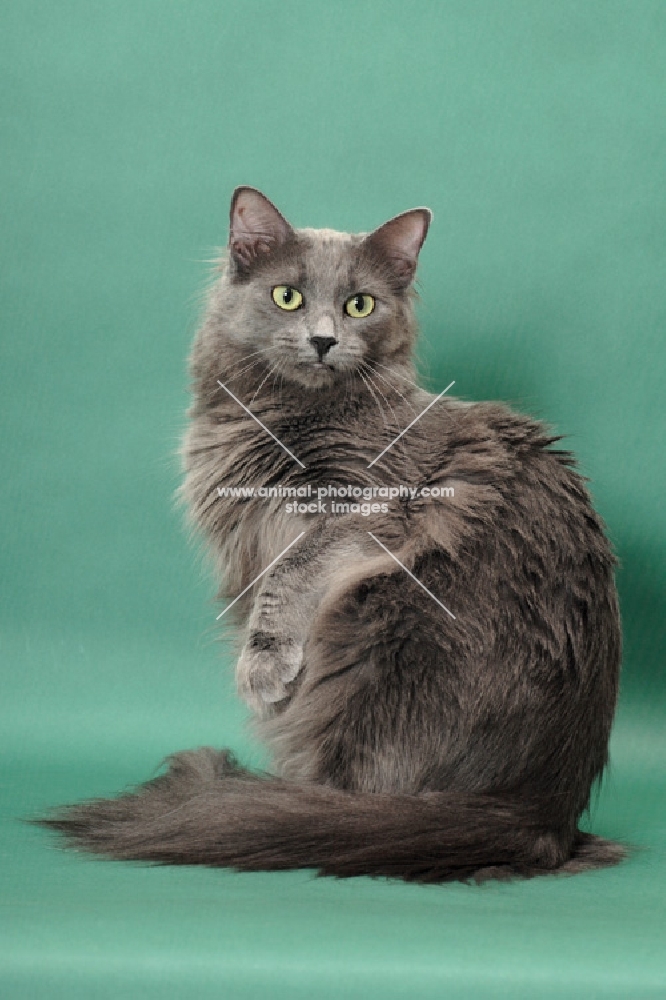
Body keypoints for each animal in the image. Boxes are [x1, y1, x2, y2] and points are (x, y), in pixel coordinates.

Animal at [33, 184, 624, 880]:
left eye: (359, 305)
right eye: (287, 296)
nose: (322, 339)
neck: (271, 416)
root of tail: (544, 816)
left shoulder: (380, 503)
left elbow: (291, 572)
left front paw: (263, 669)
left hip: (377, 622)